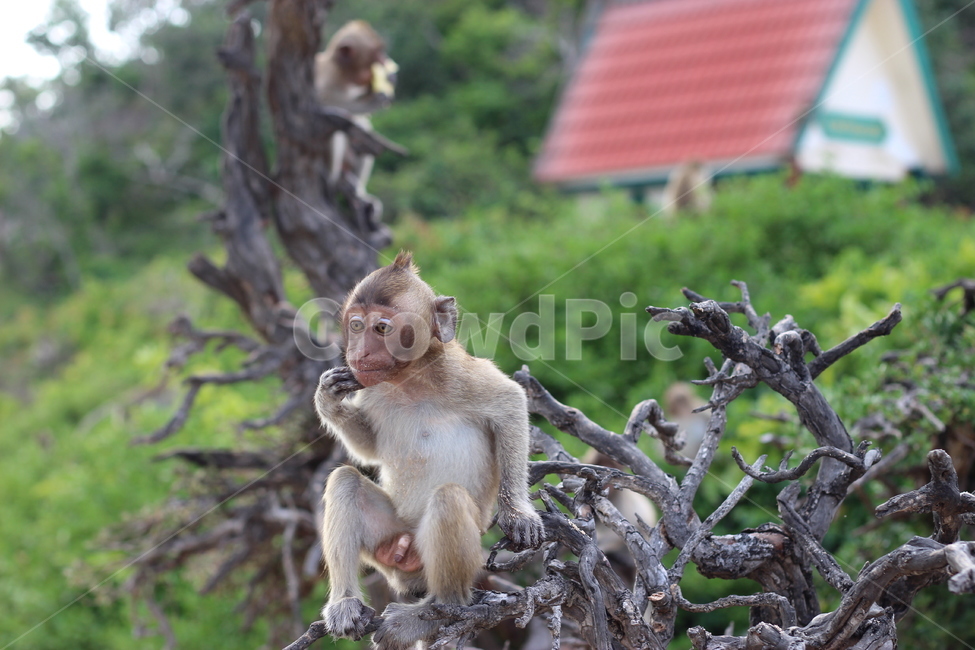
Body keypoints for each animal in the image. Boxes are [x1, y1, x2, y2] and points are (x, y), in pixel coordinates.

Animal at [314, 20, 398, 202]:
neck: (343, 75)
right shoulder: (324, 76)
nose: (385, 60)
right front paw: (377, 98)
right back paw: (332, 181)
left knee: (364, 134)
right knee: (334, 130)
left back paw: (358, 190)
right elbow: (321, 105)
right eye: (377, 53)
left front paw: (389, 80)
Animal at [314, 251, 544, 649]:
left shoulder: (459, 374)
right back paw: (345, 603)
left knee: (448, 499)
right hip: (391, 543)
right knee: (345, 480)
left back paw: (435, 611)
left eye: (382, 329)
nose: (359, 352)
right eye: (356, 325)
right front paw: (328, 397)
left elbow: (511, 404)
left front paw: (518, 513)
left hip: (460, 553)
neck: (410, 378)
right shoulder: (371, 387)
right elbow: (368, 449)